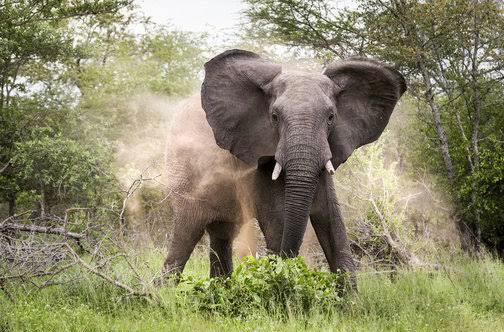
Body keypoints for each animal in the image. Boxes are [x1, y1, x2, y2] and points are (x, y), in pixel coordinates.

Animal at [161, 48, 406, 280]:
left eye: (331, 117)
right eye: (275, 117)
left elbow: (332, 220)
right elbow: (278, 223)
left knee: (222, 234)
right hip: (185, 174)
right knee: (186, 234)